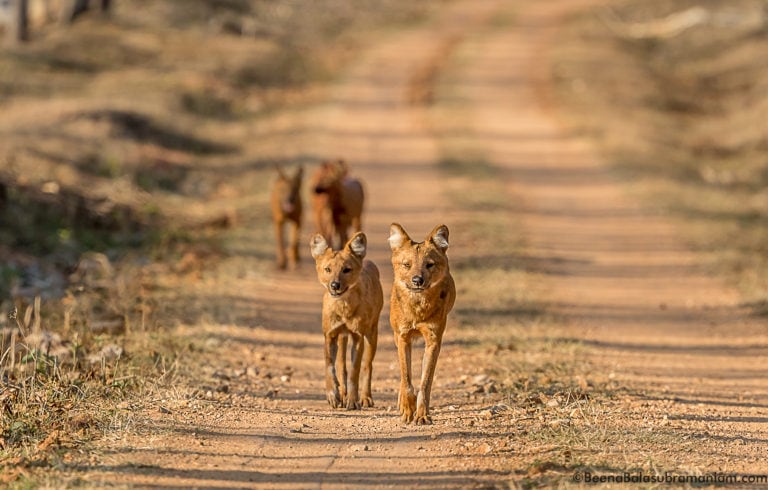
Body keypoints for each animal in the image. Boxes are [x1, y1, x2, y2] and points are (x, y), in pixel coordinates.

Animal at [310, 232, 382, 408]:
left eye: (346, 270)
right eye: (327, 269)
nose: (335, 285)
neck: (343, 308)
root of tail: (367, 261)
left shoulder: (358, 336)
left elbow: (355, 371)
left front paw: (353, 401)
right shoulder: (330, 335)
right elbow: (329, 365)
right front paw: (333, 395)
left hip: (372, 334)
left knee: (367, 365)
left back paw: (365, 398)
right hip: (342, 336)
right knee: (342, 365)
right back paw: (342, 393)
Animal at [390, 224, 456, 424]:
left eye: (429, 264)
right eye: (407, 264)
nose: (417, 280)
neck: (417, 308)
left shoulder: (433, 341)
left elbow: (425, 383)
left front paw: (422, 415)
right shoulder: (403, 337)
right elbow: (406, 378)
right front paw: (407, 409)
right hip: (396, 336)